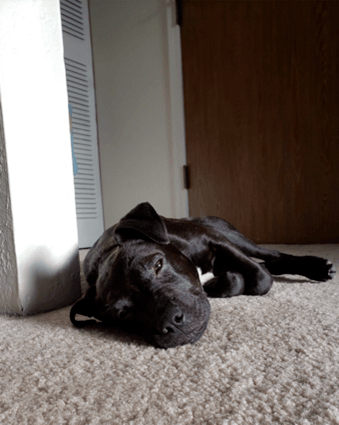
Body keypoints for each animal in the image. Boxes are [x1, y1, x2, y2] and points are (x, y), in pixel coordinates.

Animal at [70, 203, 336, 348]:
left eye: (158, 264)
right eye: (122, 313)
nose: (170, 323)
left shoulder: (215, 240)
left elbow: (261, 279)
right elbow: (236, 280)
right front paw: (231, 282)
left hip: (231, 234)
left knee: (272, 256)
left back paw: (318, 267)